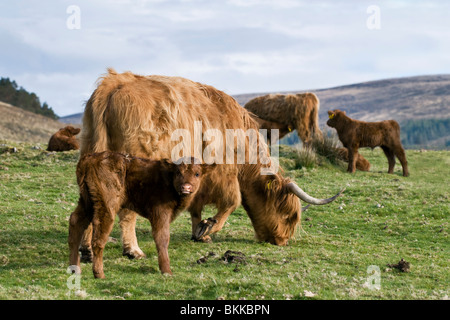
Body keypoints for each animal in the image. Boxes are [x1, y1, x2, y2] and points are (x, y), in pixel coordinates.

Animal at [68, 152, 213, 278]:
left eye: (197, 173)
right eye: (178, 172)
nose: (186, 187)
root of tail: (90, 158)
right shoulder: (160, 215)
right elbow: (162, 238)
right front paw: (166, 271)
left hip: (87, 202)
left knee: (75, 222)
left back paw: (75, 268)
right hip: (106, 206)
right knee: (98, 237)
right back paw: (99, 274)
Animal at [78, 69, 344, 262]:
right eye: (289, 215)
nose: (281, 241)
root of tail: (114, 82)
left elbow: (196, 206)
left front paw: (199, 231)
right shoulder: (223, 172)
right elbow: (231, 201)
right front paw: (208, 228)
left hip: (89, 152)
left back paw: (87, 249)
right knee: (126, 211)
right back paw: (132, 249)